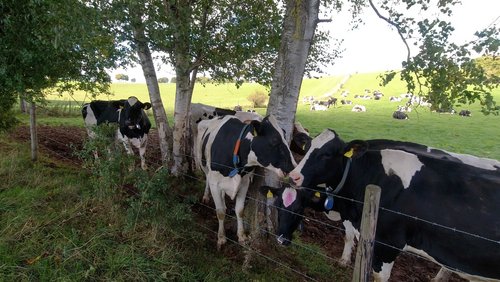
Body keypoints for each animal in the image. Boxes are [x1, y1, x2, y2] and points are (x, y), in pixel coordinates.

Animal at [195, 114, 296, 249]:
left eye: (285, 137)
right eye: (274, 140)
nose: (293, 166)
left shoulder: (244, 183)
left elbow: (240, 210)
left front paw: (242, 236)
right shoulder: (215, 182)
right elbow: (220, 212)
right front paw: (221, 238)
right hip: (203, 163)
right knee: (206, 178)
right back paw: (206, 196)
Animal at [272, 131, 500, 282]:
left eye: (328, 154)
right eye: (307, 147)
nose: (294, 176)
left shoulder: (388, 244)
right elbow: (351, 238)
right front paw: (347, 260)